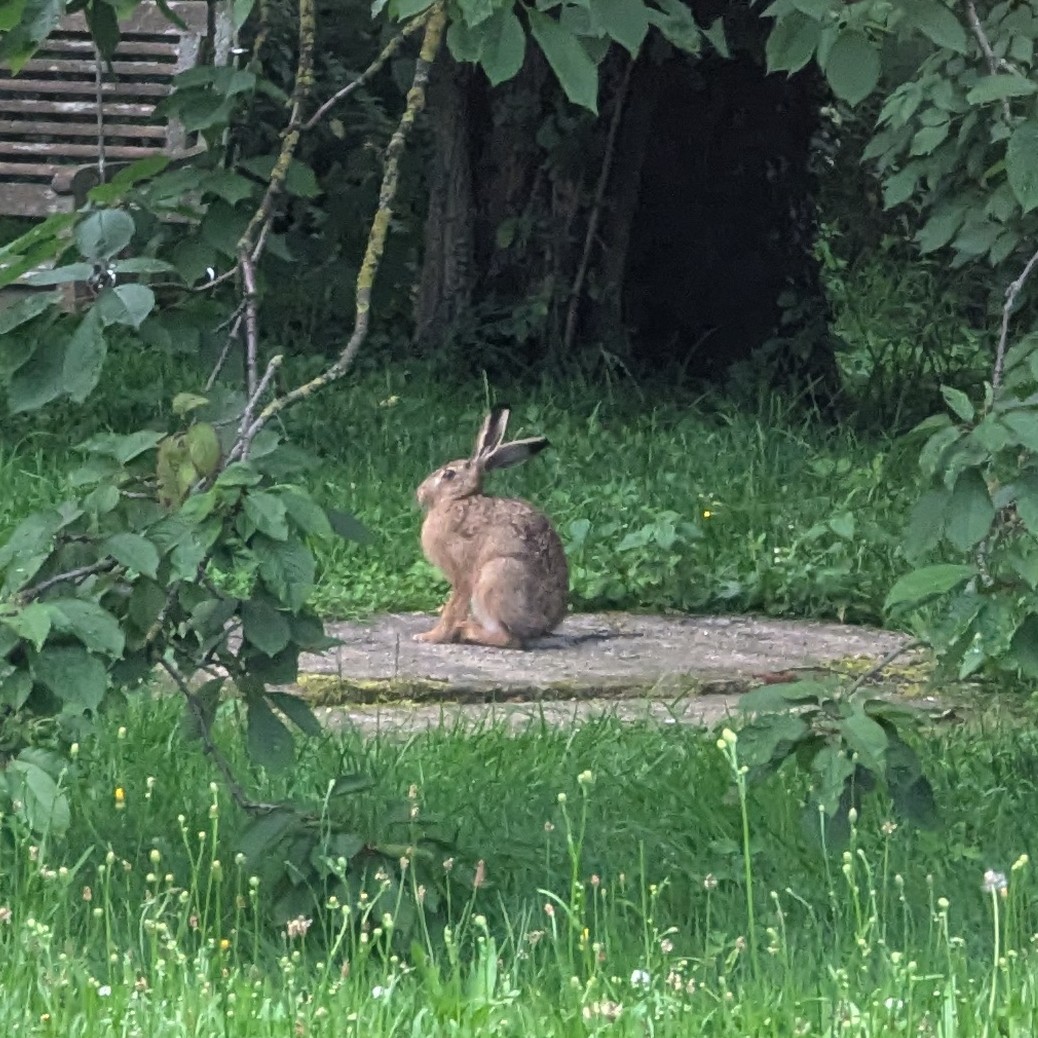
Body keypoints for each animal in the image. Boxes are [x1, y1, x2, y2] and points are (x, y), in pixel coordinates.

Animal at [414, 406, 568, 649]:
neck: (459, 499)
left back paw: (465, 630)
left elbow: (453, 606)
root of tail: (541, 628)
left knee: (508, 639)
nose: (420, 492)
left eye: (448, 474)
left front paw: (431, 636)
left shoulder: (463, 573)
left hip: (495, 577)